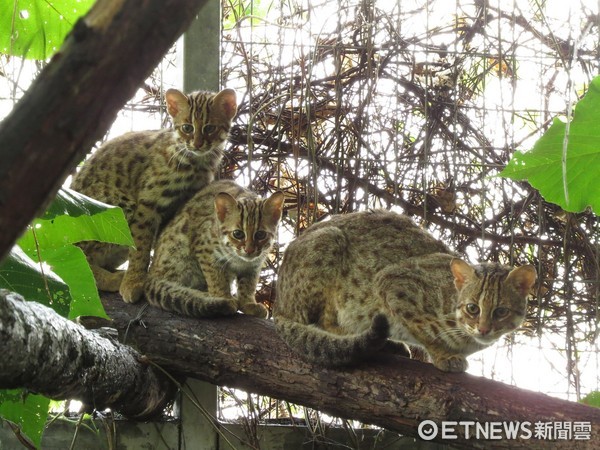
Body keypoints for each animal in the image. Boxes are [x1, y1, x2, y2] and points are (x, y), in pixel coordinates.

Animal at [70, 89, 237, 302]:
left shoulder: (178, 206)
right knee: (81, 259)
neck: (196, 161)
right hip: (119, 205)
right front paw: (134, 282)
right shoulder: (147, 204)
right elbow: (140, 247)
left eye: (210, 128)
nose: (197, 144)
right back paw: (113, 279)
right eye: (187, 128)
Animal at [145, 179, 286, 320]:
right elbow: (216, 279)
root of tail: (150, 274)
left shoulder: (254, 265)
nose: (249, 250)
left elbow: (248, 285)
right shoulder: (205, 250)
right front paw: (224, 298)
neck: (239, 259)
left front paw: (248, 304)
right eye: (238, 234)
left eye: (261, 234)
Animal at [274, 211, 536, 372]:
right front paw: (444, 356)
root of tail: (278, 305)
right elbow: (425, 332)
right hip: (329, 242)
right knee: (321, 321)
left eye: (501, 311)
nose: (483, 329)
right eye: (473, 308)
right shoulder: (392, 282)